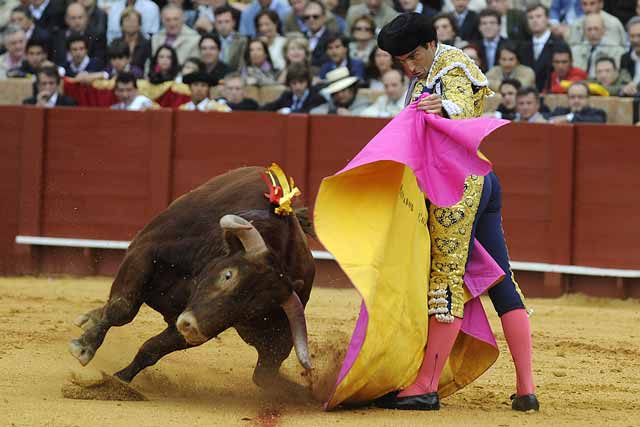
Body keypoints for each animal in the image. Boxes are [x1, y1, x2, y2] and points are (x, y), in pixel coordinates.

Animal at [69, 167, 316, 392]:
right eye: (228, 275)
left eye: (254, 311)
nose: (193, 328)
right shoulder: (143, 252)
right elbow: (122, 309)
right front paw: (83, 347)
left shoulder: (197, 321)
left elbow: (154, 347)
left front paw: (121, 379)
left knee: (264, 374)